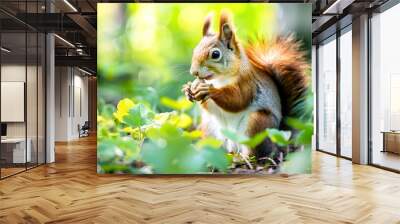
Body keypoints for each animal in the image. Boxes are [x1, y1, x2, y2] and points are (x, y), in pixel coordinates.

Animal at [182, 11, 310, 162]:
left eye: (215, 54)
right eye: (195, 50)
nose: (194, 72)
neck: (220, 80)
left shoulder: (247, 84)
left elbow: (237, 100)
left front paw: (209, 90)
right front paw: (188, 89)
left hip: (257, 125)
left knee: (256, 153)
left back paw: (243, 158)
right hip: (209, 129)